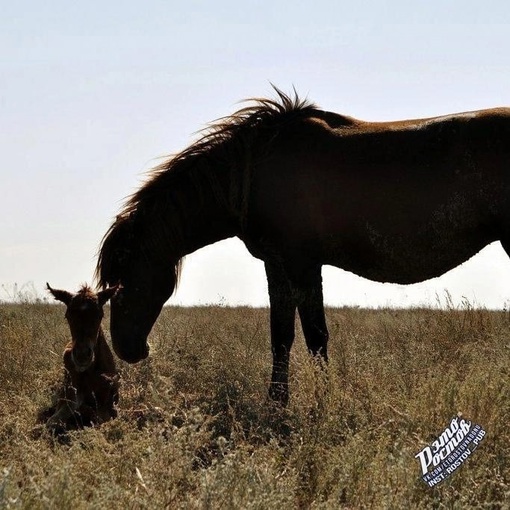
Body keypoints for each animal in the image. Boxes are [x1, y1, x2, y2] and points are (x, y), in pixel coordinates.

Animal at [45, 282, 120, 430]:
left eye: (100, 315)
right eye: (68, 316)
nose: (82, 355)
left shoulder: (109, 396)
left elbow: (103, 418)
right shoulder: (71, 393)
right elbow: (54, 419)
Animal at [95, 88, 510, 406]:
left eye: (122, 283)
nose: (129, 350)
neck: (254, 171)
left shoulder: (304, 265)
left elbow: (316, 337)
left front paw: (324, 405)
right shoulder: (277, 265)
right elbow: (282, 337)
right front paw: (277, 404)